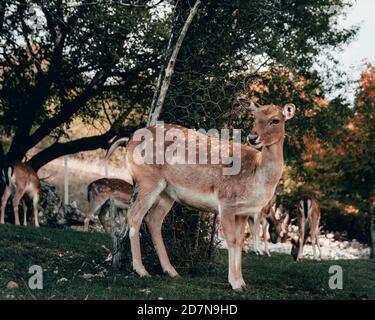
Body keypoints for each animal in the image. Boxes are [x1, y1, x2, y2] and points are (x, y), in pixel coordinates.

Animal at [106, 99, 296, 292]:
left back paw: (171, 271)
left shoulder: (243, 212)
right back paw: (142, 270)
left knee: (153, 219)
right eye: (254, 117)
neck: (256, 174)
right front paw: (235, 283)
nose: (252, 137)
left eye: (275, 120)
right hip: (147, 180)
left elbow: (240, 241)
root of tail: (128, 139)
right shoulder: (226, 201)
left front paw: (242, 283)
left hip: (168, 193)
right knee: (134, 215)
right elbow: (232, 240)